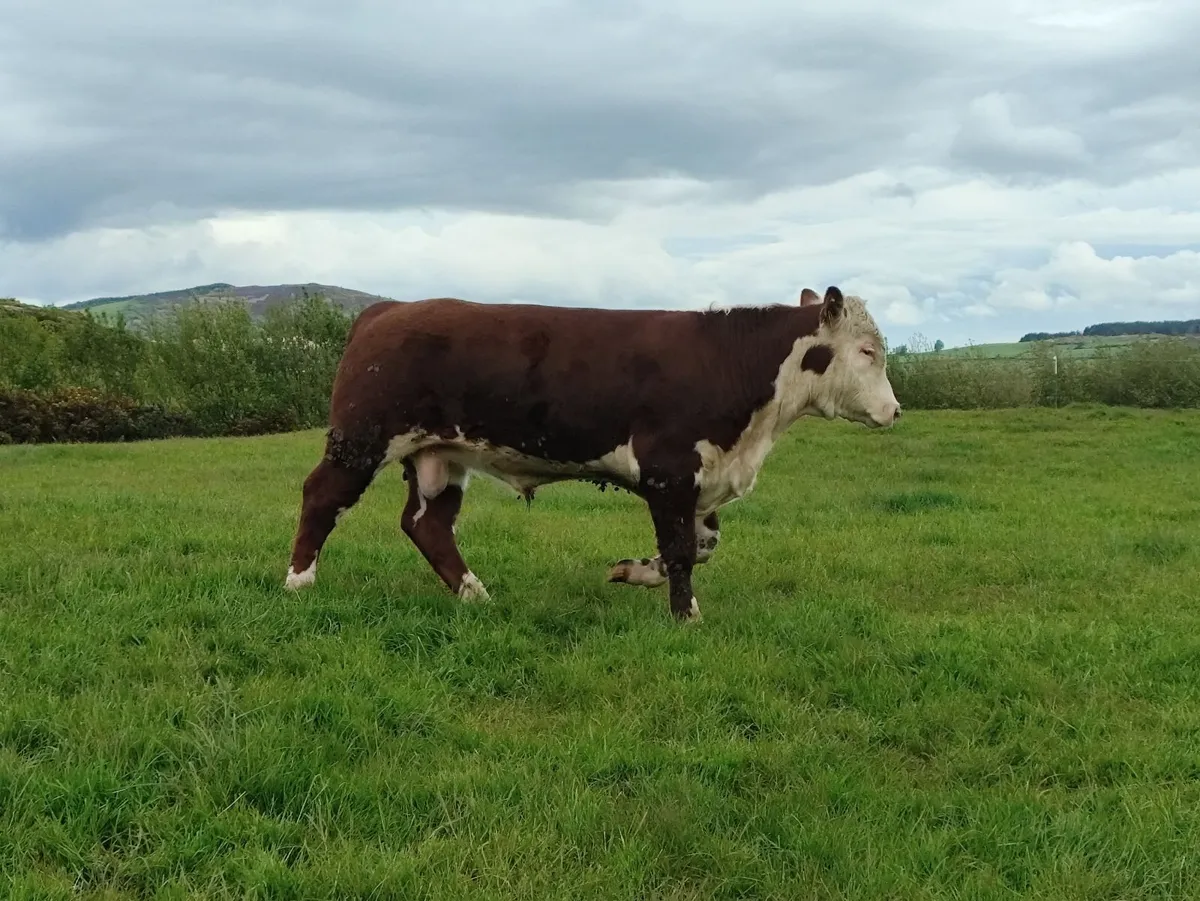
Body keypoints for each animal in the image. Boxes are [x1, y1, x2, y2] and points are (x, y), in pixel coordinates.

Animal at [284, 285, 900, 622]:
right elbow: (682, 550)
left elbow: (700, 546)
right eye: (868, 351)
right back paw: (298, 583)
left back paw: (475, 593)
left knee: (427, 524)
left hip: (442, 454)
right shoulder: (670, 470)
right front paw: (686, 615)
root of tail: (388, 309)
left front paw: (632, 572)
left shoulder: (702, 481)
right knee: (322, 498)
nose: (895, 411)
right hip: (362, 439)